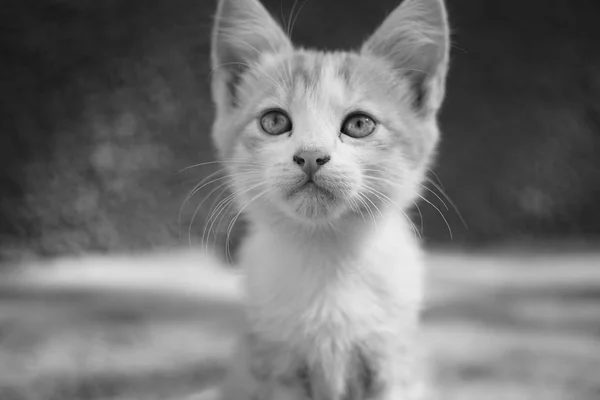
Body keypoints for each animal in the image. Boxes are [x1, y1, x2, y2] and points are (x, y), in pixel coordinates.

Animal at [209, 0, 448, 398]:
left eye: (359, 124)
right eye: (274, 121)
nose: (310, 155)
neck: (326, 256)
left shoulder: (394, 359)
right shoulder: (272, 362)